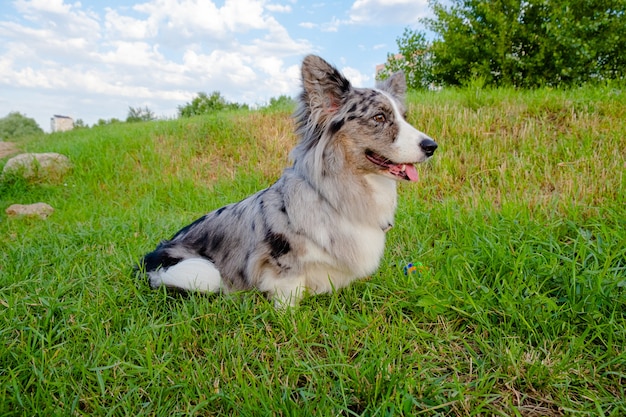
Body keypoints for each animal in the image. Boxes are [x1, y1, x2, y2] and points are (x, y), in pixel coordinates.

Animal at [139, 54, 436, 306]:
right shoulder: (283, 265)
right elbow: (288, 292)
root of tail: (148, 257)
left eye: (404, 118)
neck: (336, 193)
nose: (432, 146)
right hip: (196, 272)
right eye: (379, 117)